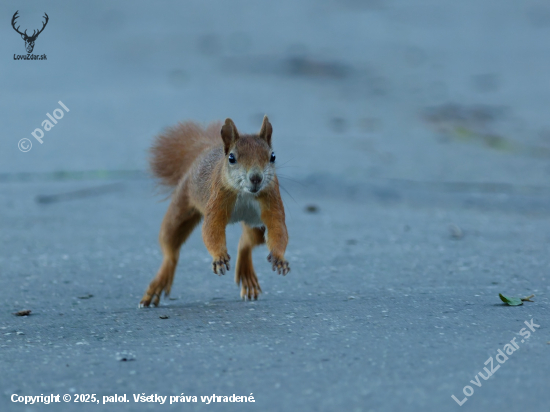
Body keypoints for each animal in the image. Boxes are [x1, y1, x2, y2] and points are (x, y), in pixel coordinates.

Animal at [140, 115, 292, 306]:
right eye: (232, 158)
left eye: (273, 156)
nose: (256, 178)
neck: (245, 193)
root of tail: (205, 149)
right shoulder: (218, 198)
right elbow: (211, 228)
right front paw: (219, 258)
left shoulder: (271, 199)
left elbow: (277, 227)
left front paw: (279, 258)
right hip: (181, 204)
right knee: (170, 249)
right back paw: (159, 281)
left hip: (256, 226)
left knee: (246, 242)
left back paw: (247, 276)